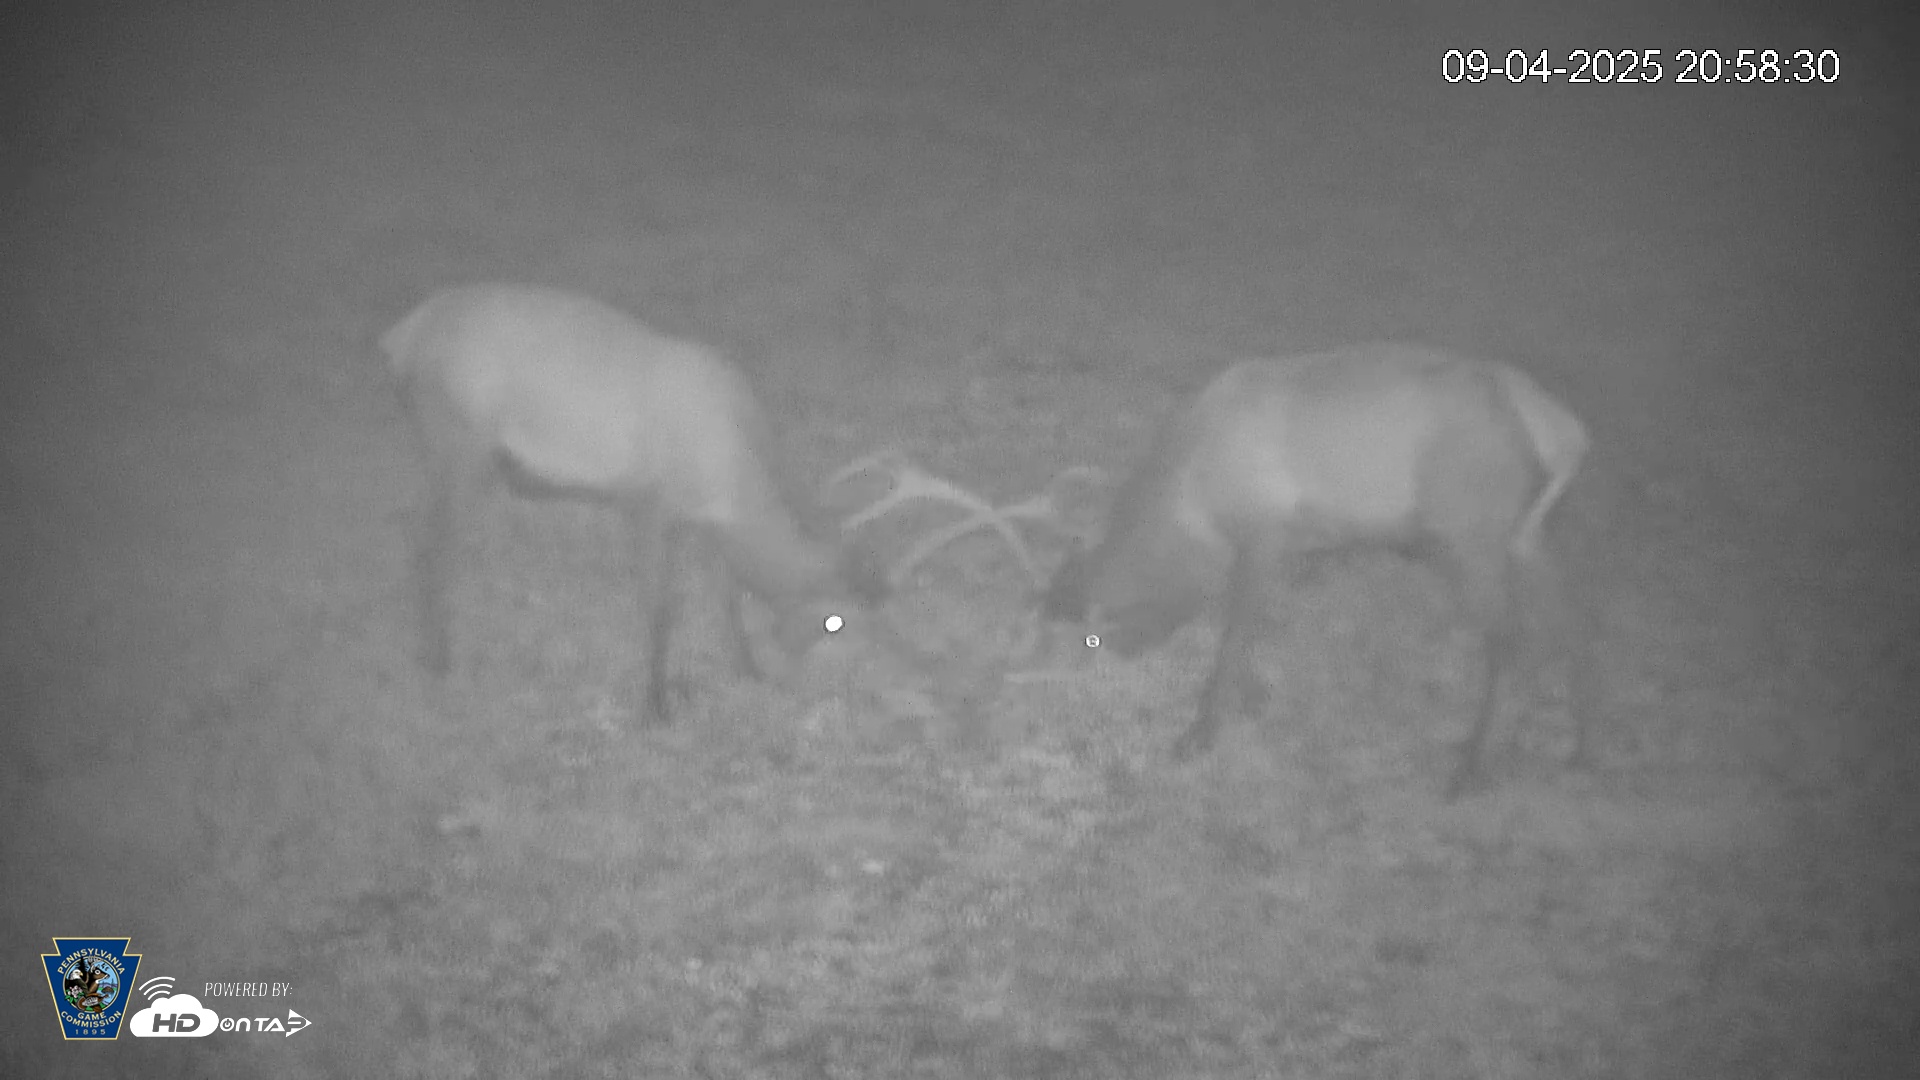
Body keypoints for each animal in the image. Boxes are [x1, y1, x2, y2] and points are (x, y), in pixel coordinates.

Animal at [382, 284, 1036, 726]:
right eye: (840, 622)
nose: (936, 687)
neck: (732, 476)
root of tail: (405, 333)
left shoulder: (707, 524)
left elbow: (727, 595)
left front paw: (746, 669)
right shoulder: (646, 501)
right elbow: (661, 607)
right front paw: (657, 704)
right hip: (455, 437)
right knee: (426, 539)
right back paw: (437, 660)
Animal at [1036, 343, 1594, 799]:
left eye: (1094, 636)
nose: (1130, 652)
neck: (1192, 509)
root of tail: (1567, 436)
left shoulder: (1264, 533)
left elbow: (1233, 634)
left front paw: (1200, 733)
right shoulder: (1292, 546)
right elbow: (1248, 629)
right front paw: (1254, 698)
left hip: (1471, 534)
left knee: (1513, 641)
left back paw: (1473, 767)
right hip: (1527, 537)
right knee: (1566, 621)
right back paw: (1578, 746)